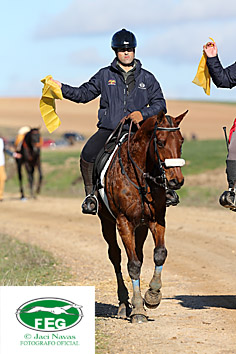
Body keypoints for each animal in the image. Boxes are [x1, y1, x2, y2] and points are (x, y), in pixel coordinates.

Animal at [97, 110, 187, 324]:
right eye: (160, 142)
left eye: (181, 141)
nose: (176, 181)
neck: (140, 175)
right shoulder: (124, 223)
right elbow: (133, 265)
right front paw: (138, 309)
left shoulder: (156, 220)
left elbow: (160, 253)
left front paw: (152, 296)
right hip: (107, 222)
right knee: (116, 256)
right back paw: (123, 304)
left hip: (142, 227)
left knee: (139, 253)